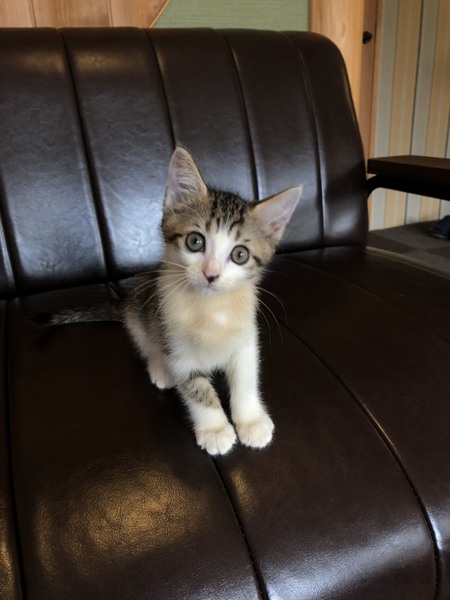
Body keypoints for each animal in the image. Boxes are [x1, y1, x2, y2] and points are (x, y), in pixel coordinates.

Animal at [42, 147, 302, 456]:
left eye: (240, 254)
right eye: (195, 241)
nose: (211, 274)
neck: (211, 309)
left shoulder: (245, 338)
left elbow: (246, 379)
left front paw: (251, 421)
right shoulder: (177, 347)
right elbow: (195, 387)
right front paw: (215, 430)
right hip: (140, 311)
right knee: (146, 343)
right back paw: (159, 369)